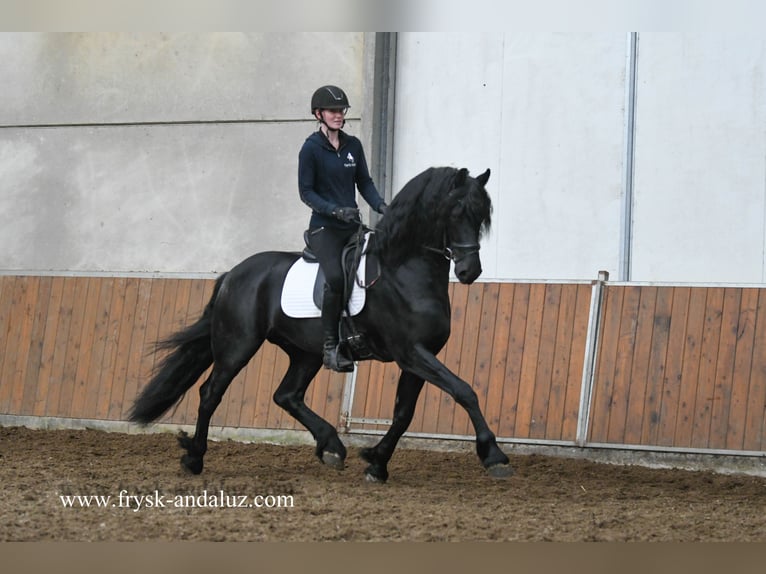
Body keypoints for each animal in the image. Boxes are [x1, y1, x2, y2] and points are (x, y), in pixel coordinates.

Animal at [128, 166, 513, 482]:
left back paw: (332, 446)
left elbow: (404, 413)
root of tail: (232, 274)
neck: (402, 268)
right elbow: (465, 390)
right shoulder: (411, 353)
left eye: (482, 215)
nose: (469, 271)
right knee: (211, 393)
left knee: (286, 395)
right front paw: (493, 454)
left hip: (305, 352)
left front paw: (376, 463)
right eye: (457, 211)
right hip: (237, 345)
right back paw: (194, 459)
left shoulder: (420, 356)